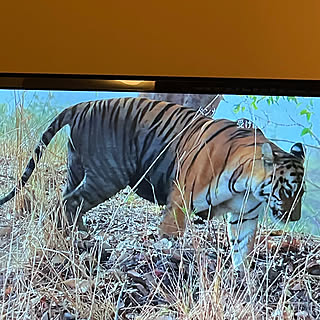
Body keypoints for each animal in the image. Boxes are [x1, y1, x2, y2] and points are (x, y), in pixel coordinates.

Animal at [0, 97, 304, 270]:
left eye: (300, 194)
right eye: (287, 191)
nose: (295, 217)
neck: (248, 186)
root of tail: (83, 105)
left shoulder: (245, 215)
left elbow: (242, 248)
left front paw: (243, 280)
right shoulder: (181, 202)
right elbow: (170, 236)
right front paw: (168, 260)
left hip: (77, 167)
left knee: (65, 199)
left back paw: (77, 234)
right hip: (107, 175)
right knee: (68, 202)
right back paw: (76, 238)